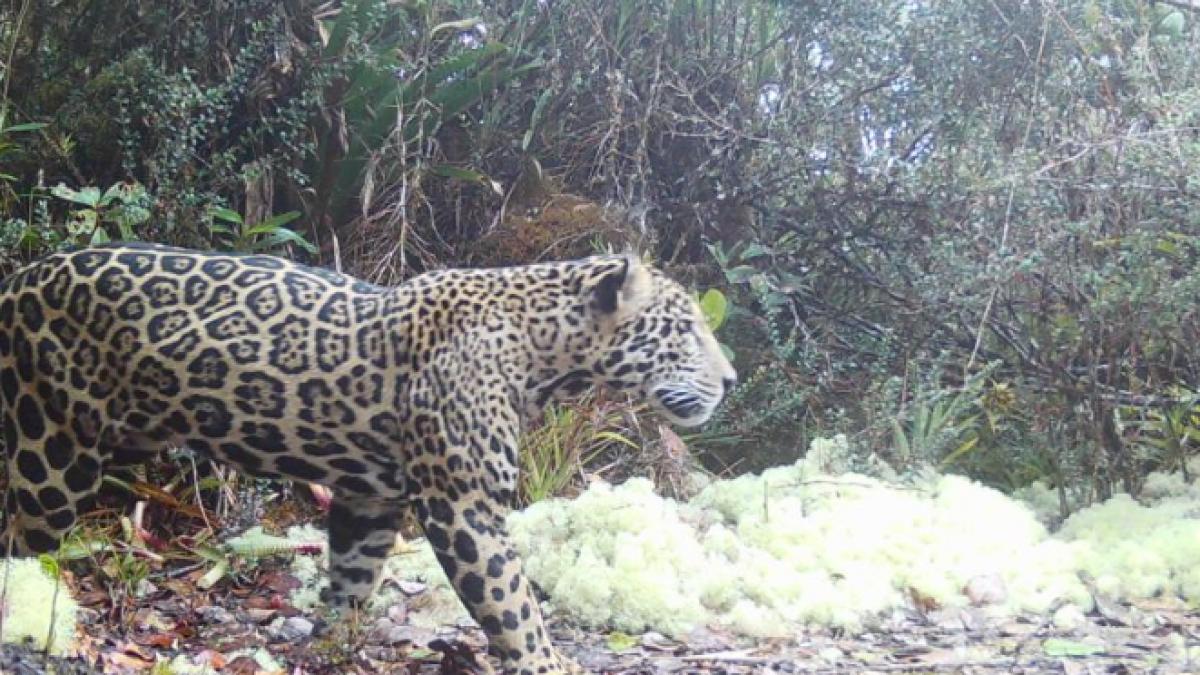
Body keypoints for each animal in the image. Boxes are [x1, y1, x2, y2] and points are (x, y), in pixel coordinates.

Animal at [0, 242, 736, 674]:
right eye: (686, 330)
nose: (730, 380)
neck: (546, 355)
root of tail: (20, 275)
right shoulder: (464, 507)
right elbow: (515, 606)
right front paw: (549, 663)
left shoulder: (372, 499)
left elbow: (353, 578)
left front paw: (332, 645)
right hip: (52, 448)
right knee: (23, 537)